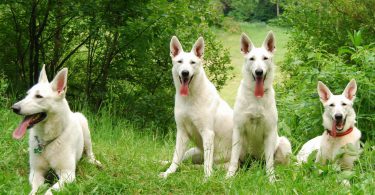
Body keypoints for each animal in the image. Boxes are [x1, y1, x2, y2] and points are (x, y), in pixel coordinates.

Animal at [11, 66, 101, 195]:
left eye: (39, 96)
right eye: (27, 95)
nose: (14, 108)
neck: (47, 141)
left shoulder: (67, 174)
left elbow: (49, 191)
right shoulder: (36, 171)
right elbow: (34, 190)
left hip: (85, 127)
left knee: (90, 153)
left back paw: (94, 162)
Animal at [159, 35, 235, 179]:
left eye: (193, 62)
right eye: (180, 61)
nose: (185, 73)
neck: (190, 98)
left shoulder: (207, 133)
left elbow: (207, 164)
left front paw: (207, 178)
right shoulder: (182, 132)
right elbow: (175, 158)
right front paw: (168, 173)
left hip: (222, 164)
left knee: (207, 164)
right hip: (192, 151)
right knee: (181, 160)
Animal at [226, 31, 294, 182]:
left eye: (265, 58)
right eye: (251, 59)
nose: (259, 72)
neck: (256, 98)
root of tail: (255, 162)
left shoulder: (269, 132)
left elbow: (269, 163)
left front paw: (271, 179)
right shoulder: (238, 130)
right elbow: (233, 159)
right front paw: (229, 176)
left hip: (284, 143)